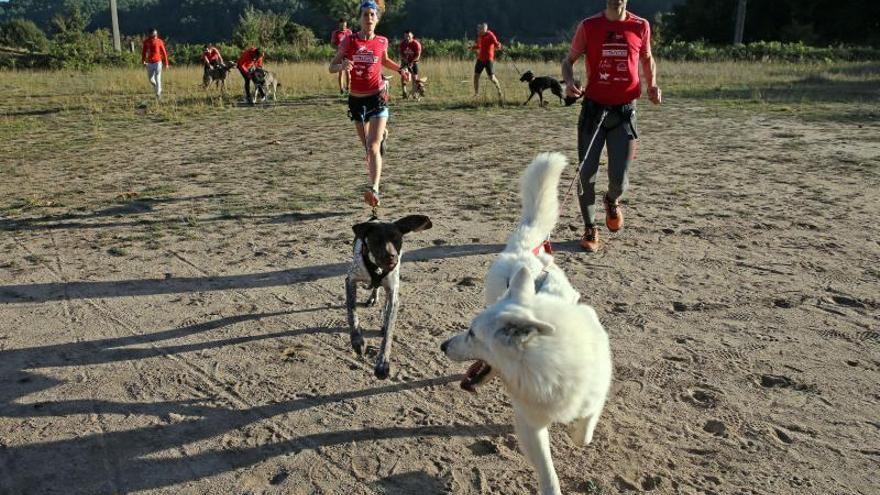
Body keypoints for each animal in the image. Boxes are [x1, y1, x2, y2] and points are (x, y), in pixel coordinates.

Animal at [344, 214, 434, 380]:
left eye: (397, 239)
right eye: (376, 239)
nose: (391, 257)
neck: (378, 269)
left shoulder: (393, 294)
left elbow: (388, 333)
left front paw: (382, 363)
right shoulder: (350, 280)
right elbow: (352, 312)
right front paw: (357, 341)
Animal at [440, 153, 612, 494]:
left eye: (472, 333)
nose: (443, 345)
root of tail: (524, 250)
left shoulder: (596, 393)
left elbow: (584, 432)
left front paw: (574, 433)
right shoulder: (530, 424)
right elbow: (548, 474)